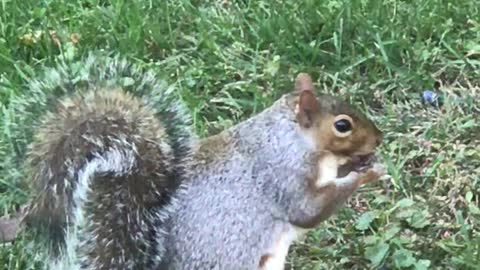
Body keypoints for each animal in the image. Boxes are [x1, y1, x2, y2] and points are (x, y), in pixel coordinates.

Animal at [17, 53, 386, 268]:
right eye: (342, 126)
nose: (379, 138)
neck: (290, 137)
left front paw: (360, 164)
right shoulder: (281, 174)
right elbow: (308, 210)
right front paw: (366, 173)